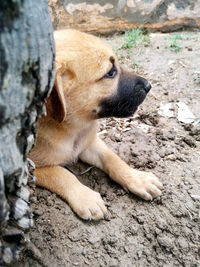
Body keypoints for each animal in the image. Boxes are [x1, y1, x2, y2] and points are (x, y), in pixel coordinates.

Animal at [29, 29, 162, 221]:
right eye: (110, 73)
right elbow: (60, 173)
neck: (72, 129)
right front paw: (86, 198)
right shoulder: (28, 168)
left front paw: (137, 178)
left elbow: (113, 158)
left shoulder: (89, 142)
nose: (148, 85)